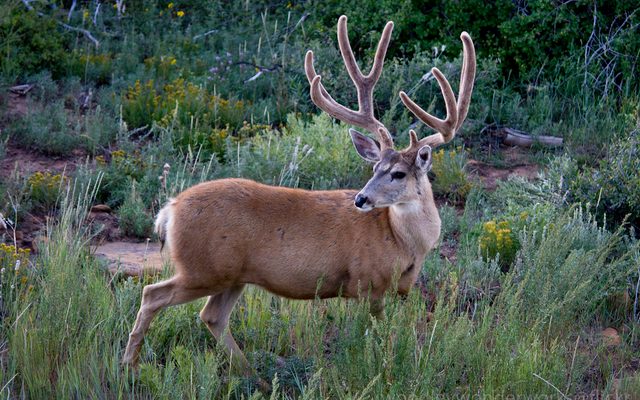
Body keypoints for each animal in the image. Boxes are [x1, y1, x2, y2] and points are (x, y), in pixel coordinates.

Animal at [122, 15, 475, 380]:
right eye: (376, 166)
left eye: (398, 173)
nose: (361, 199)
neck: (404, 242)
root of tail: (170, 209)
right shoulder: (366, 284)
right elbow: (382, 338)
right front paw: (386, 371)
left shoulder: (401, 290)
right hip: (203, 268)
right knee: (152, 294)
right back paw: (130, 365)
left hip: (232, 276)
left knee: (211, 316)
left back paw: (255, 377)